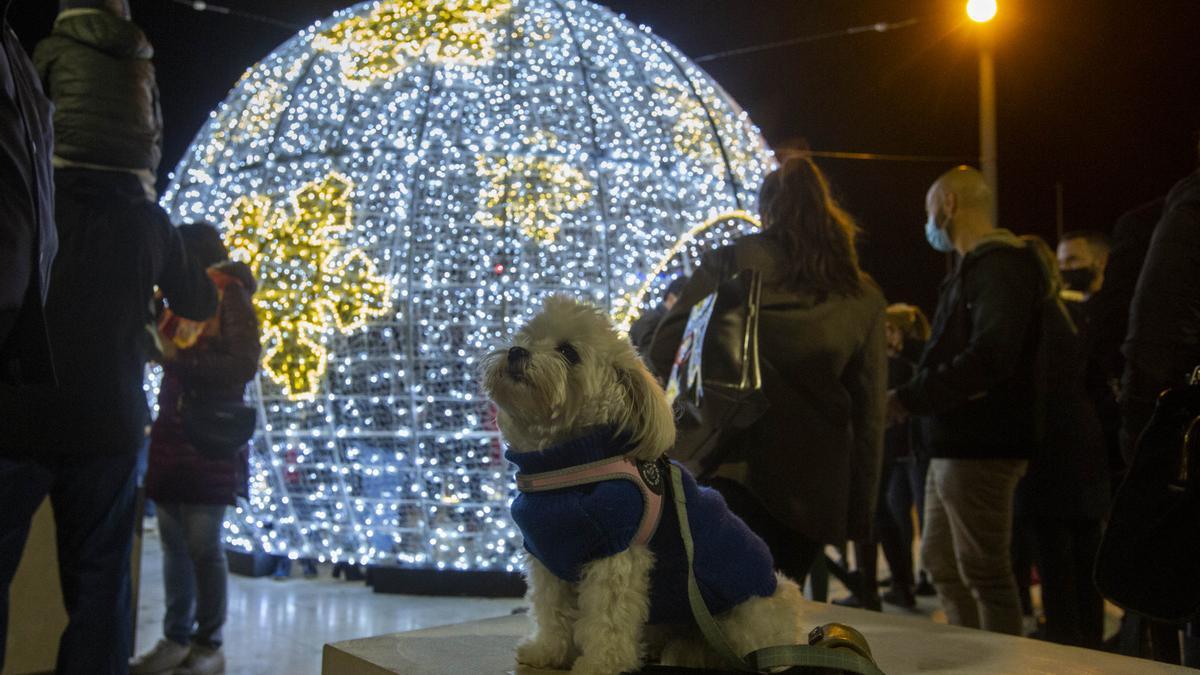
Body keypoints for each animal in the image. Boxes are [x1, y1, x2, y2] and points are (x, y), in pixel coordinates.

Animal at [480, 295, 806, 672]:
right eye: (527, 337)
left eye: (568, 352)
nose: (516, 351)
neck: (564, 468)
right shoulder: (548, 555)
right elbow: (551, 611)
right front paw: (547, 651)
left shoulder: (615, 551)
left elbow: (607, 618)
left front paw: (601, 663)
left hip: (746, 614)